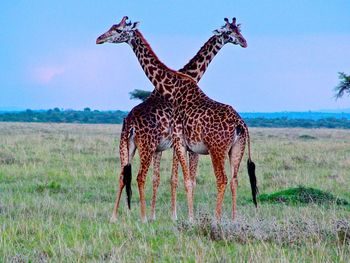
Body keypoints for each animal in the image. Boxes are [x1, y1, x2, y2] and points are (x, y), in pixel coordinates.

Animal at [96, 16, 258, 223]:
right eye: (230, 32)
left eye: (118, 30)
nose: (99, 39)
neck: (176, 87)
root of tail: (241, 124)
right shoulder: (182, 144)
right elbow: (183, 179)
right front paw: (180, 216)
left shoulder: (177, 143)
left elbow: (178, 179)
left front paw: (180, 217)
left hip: (210, 149)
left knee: (223, 179)